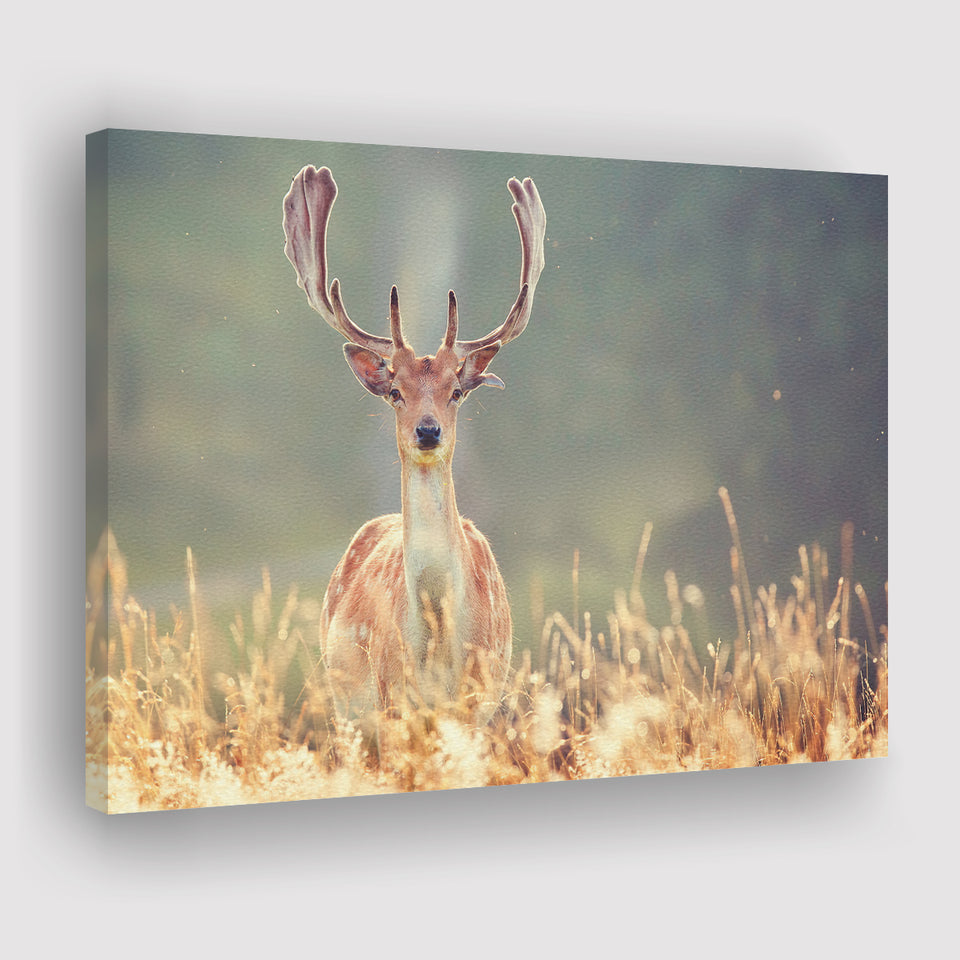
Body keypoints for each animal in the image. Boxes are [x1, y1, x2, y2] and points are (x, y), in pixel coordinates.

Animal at [281, 165, 546, 730]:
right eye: (396, 391)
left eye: (456, 391)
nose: (428, 431)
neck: (437, 640)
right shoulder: (390, 698)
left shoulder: (478, 701)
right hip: (345, 707)